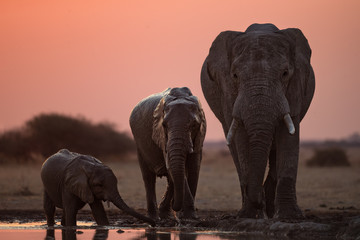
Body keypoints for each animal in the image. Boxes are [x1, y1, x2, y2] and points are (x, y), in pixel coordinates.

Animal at [130, 87, 207, 220]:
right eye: (164, 125)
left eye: (193, 125)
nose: (176, 208)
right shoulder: (161, 136)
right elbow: (173, 166)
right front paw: (188, 215)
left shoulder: (199, 137)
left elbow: (194, 168)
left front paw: (189, 216)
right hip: (139, 144)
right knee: (148, 178)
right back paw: (154, 217)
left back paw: (165, 215)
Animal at [200, 23, 316, 218]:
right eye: (235, 76)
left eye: (285, 73)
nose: (258, 202)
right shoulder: (228, 92)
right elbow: (241, 139)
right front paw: (250, 214)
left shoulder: (295, 88)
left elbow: (289, 137)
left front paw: (289, 217)